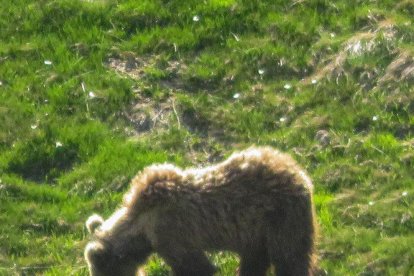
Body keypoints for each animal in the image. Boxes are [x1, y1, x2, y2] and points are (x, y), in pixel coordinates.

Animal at [84, 146, 316, 274]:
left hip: (281, 217)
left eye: (98, 272)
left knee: (290, 258)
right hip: (257, 232)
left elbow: (197, 267)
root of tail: (298, 171)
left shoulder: (173, 235)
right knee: (255, 261)